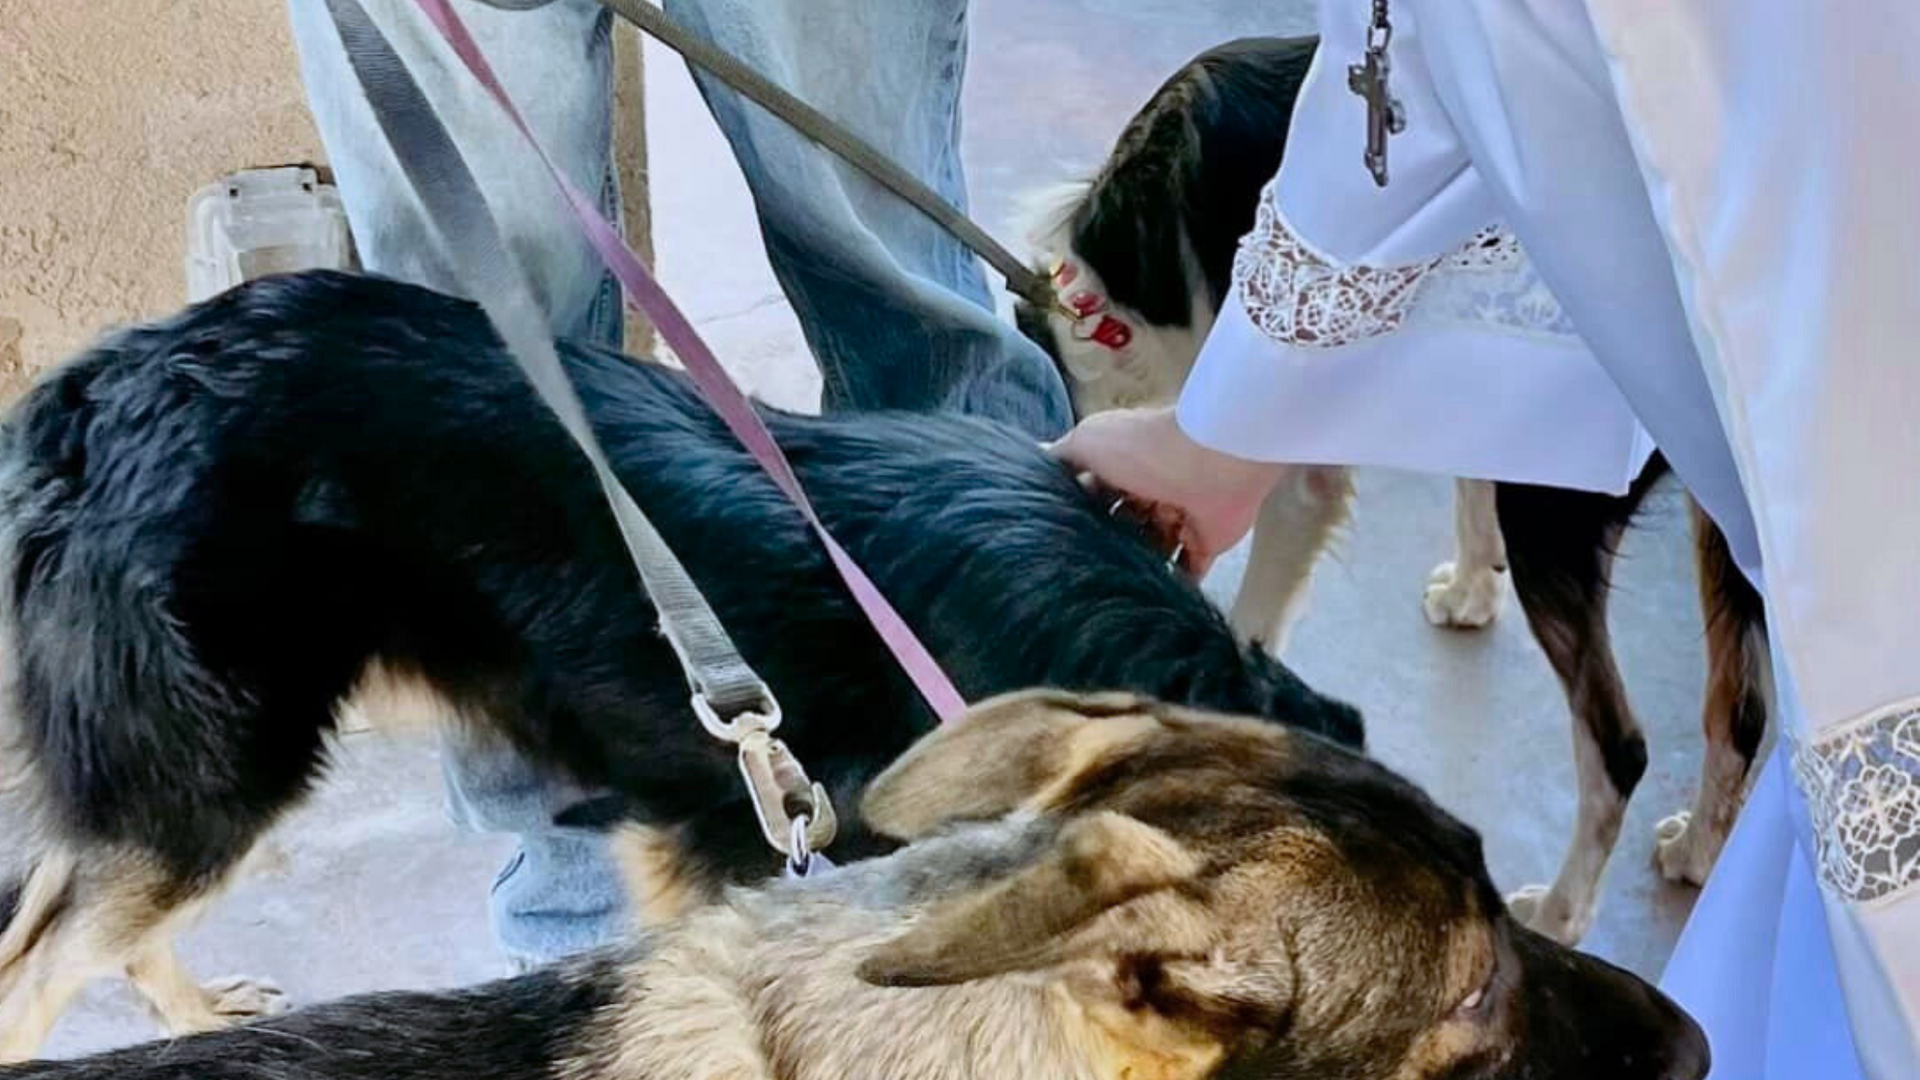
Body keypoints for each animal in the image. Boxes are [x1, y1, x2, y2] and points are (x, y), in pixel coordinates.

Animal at [1013, 35, 1774, 941]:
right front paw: (1472, 590)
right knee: (1743, 713)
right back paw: (1697, 850)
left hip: (1556, 511)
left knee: (1620, 748)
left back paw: (1561, 911)